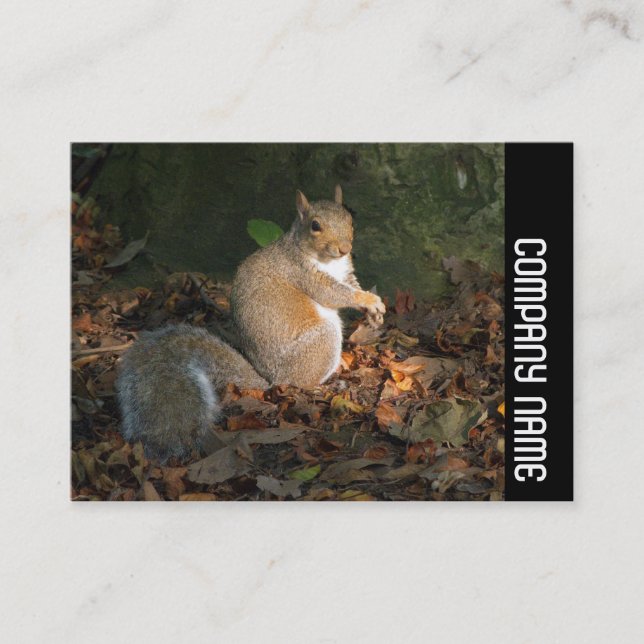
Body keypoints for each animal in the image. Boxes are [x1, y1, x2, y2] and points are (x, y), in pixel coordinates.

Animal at [116, 186, 385, 462]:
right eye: (315, 225)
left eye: (350, 219)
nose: (344, 248)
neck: (328, 261)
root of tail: (272, 380)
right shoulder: (303, 273)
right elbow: (334, 294)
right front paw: (367, 299)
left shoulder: (345, 272)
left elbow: (351, 285)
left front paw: (375, 310)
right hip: (321, 341)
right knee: (303, 382)